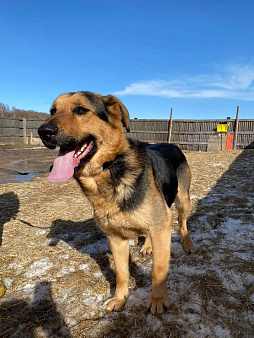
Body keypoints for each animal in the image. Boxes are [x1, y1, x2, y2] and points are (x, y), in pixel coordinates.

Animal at [38, 92, 196, 314]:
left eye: (81, 110)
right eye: (53, 111)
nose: (43, 131)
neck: (109, 169)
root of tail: (172, 144)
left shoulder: (160, 226)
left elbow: (158, 270)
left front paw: (157, 299)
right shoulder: (116, 237)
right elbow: (121, 274)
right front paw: (120, 299)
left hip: (182, 202)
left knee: (182, 224)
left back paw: (188, 244)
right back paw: (147, 246)